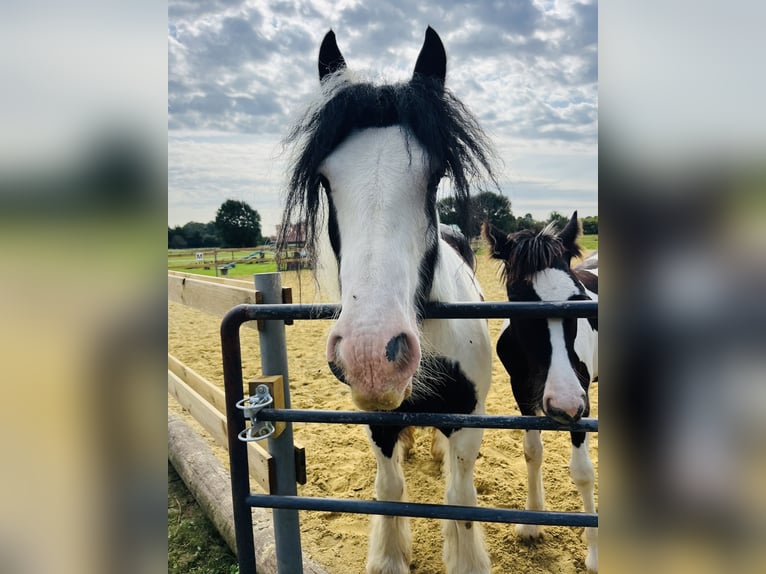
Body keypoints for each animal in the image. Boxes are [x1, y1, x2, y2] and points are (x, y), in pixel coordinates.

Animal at [280, 28, 498, 574]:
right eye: (325, 179)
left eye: (435, 174)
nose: (372, 355)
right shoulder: (378, 419)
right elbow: (391, 485)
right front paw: (390, 556)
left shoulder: (469, 420)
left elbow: (460, 499)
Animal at [486, 213, 600, 574]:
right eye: (520, 303)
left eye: (579, 301)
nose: (564, 404)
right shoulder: (522, 394)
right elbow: (532, 452)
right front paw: (532, 523)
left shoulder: (583, 401)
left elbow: (582, 472)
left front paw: (595, 555)